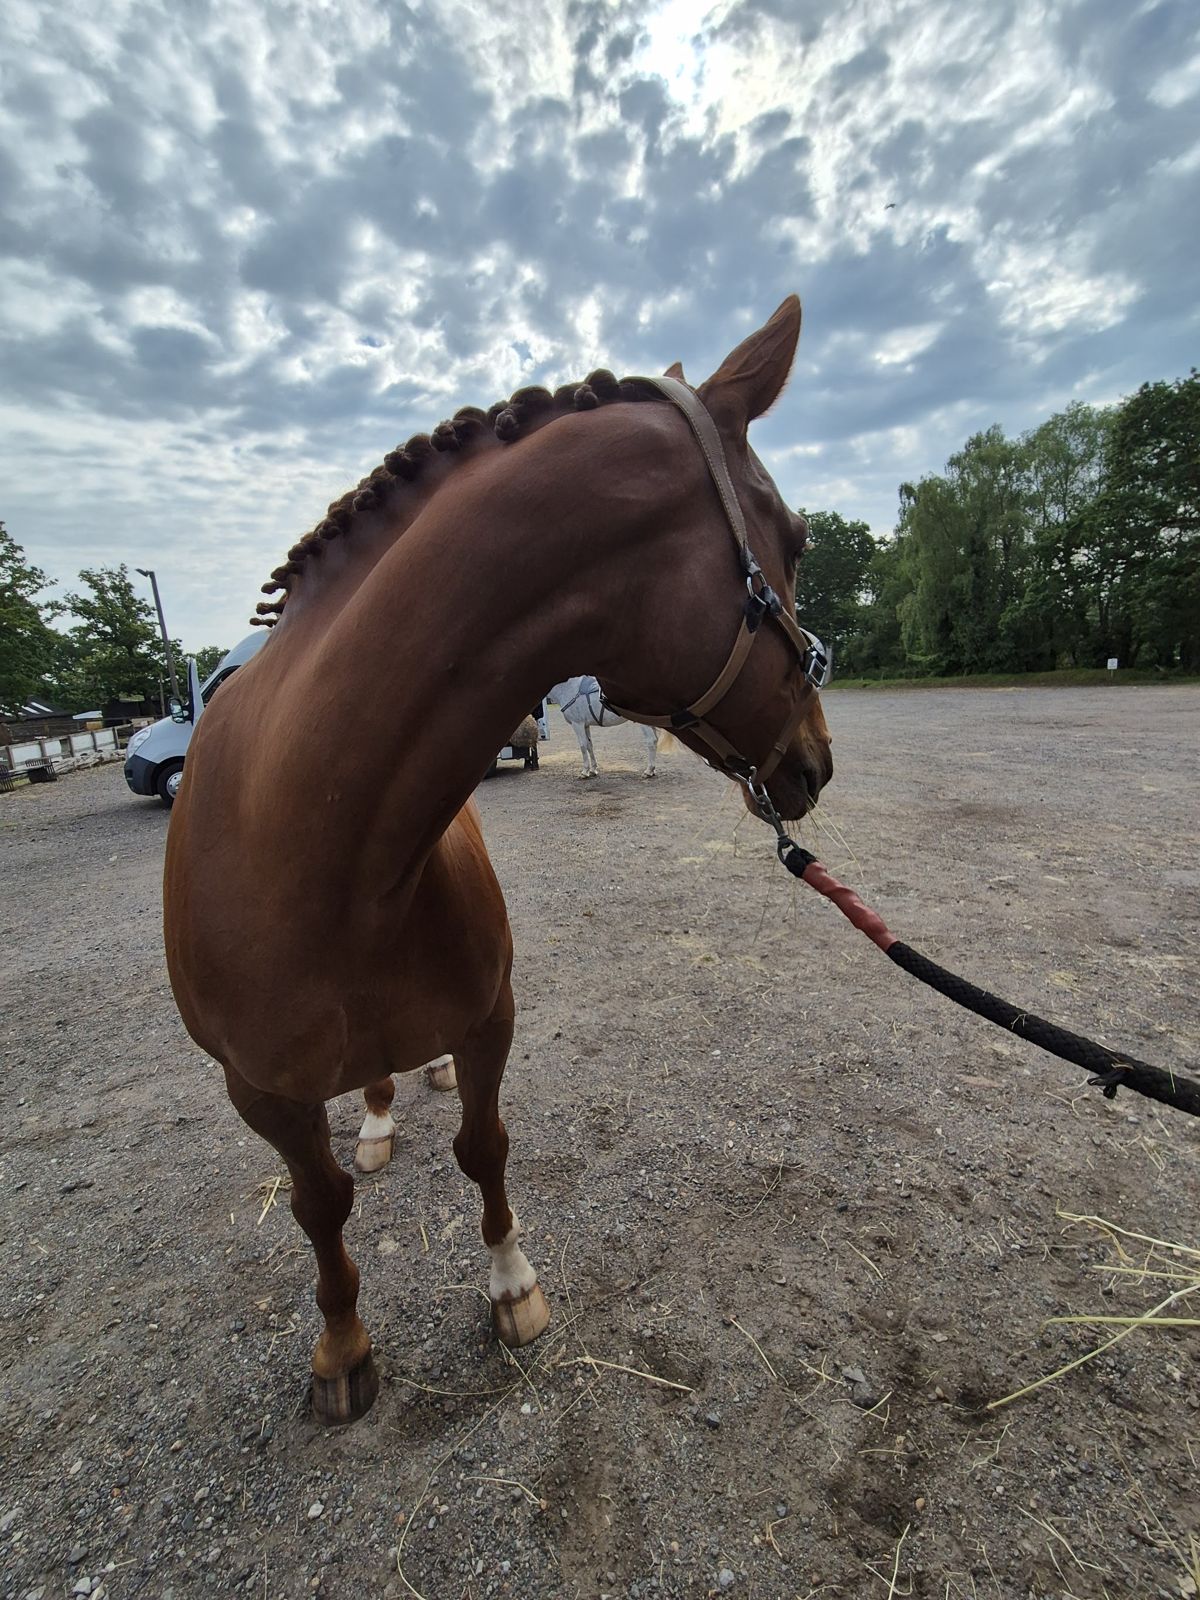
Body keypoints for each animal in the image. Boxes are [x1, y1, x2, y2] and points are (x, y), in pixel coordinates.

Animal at [162, 295, 833, 1425]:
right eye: (791, 537)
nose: (819, 758)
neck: (324, 853)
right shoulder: (259, 1092)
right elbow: (319, 1205)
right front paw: (341, 1348)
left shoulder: (489, 1019)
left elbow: (486, 1147)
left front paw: (512, 1290)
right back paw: (377, 1122)